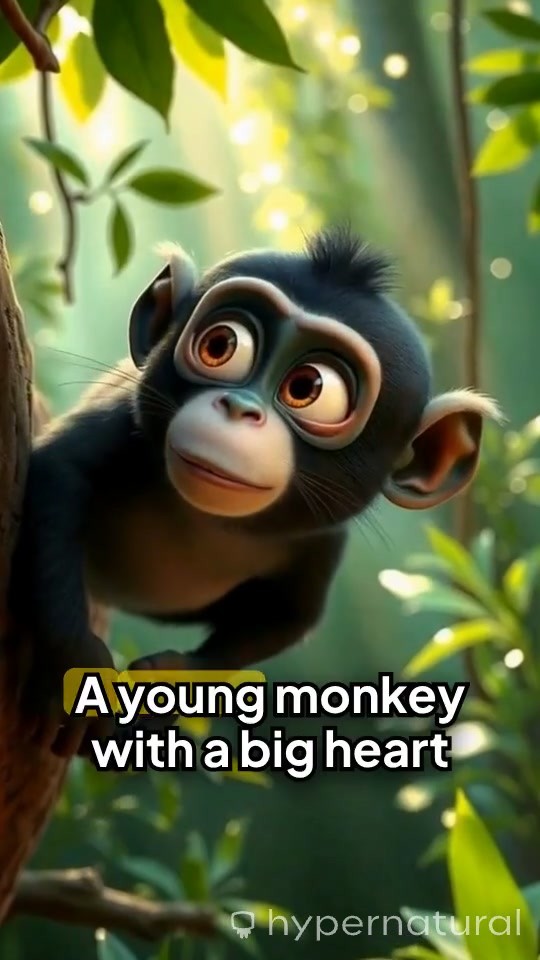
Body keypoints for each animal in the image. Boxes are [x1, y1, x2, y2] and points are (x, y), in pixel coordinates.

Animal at [9, 226, 501, 756]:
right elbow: (59, 473)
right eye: (221, 345)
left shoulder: (322, 542)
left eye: (308, 387)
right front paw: (74, 668)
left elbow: (289, 617)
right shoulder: (122, 419)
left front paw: (174, 681)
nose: (240, 408)